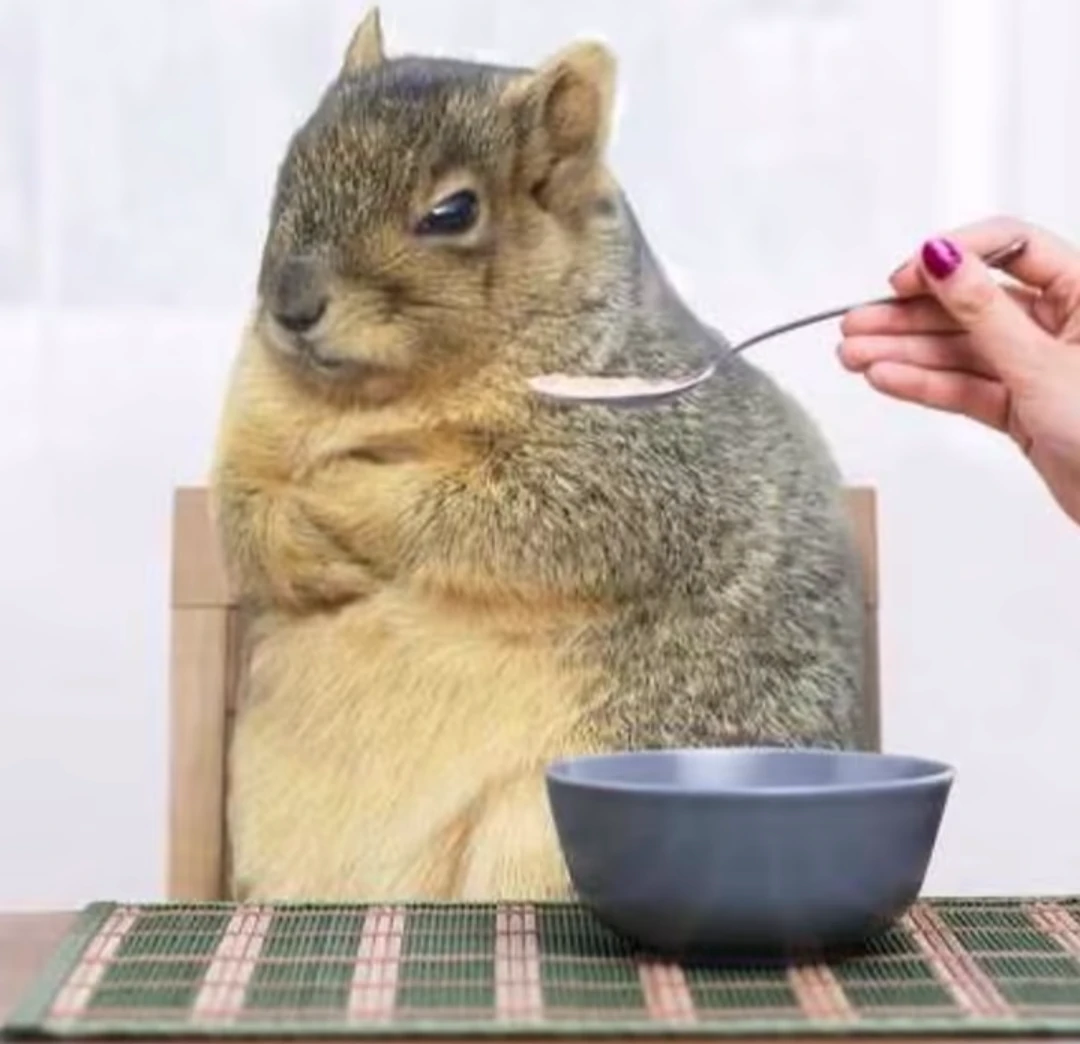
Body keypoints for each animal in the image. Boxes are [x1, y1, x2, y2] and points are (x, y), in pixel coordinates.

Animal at [211, 8, 866, 902]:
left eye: (452, 211)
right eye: (290, 161)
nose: (290, 304)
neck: (378, 398)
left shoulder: (648, 459)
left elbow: (501, 514)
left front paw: (343, 496)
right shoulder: (250, 429)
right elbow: (240, 512)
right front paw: (299, 542)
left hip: (541, 836)